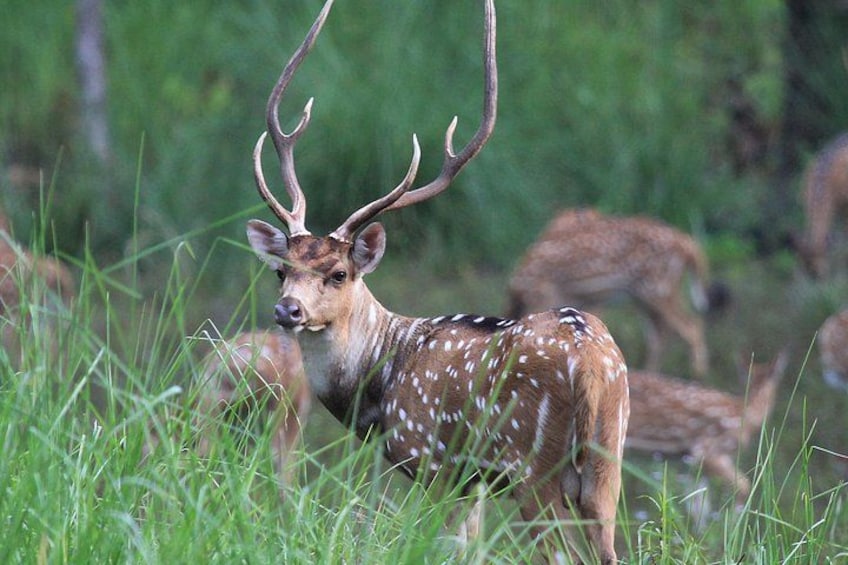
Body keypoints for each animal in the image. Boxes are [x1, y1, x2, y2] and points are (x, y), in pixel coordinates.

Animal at [243, 1, 629, 562]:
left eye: (338, 273)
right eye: (281, 270)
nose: (287, 310)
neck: (378, 383)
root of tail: (594, 365)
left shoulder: (436, 459)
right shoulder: (475, 482)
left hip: (535, 467)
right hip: (605, 464)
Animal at [507, 208, 726, 378]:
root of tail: (689, 245)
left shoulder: (548, 296)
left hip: (657, 288)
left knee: (690, 326)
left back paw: (698, 374)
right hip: (646, 295)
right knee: (659, 334)